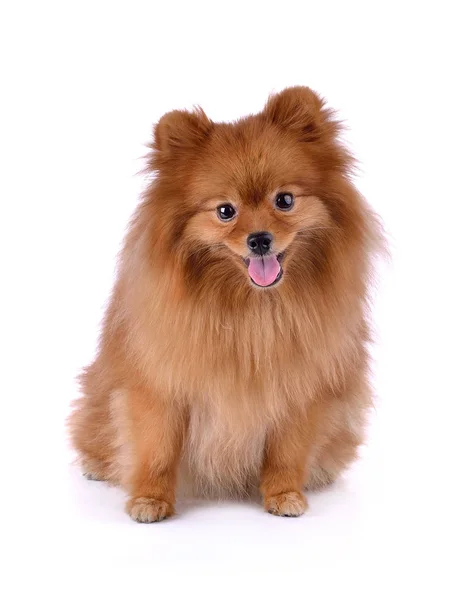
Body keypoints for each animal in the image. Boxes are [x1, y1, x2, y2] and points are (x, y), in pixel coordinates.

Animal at [69, 86, 382, 524]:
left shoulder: (301, 388)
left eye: (285, 200)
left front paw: (284, 493)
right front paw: (150, 499)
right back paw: (96, 465)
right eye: (225, 211)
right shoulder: (159, 385)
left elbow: (287, 451)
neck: (252, 309)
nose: (259, 239)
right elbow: (156, 446)